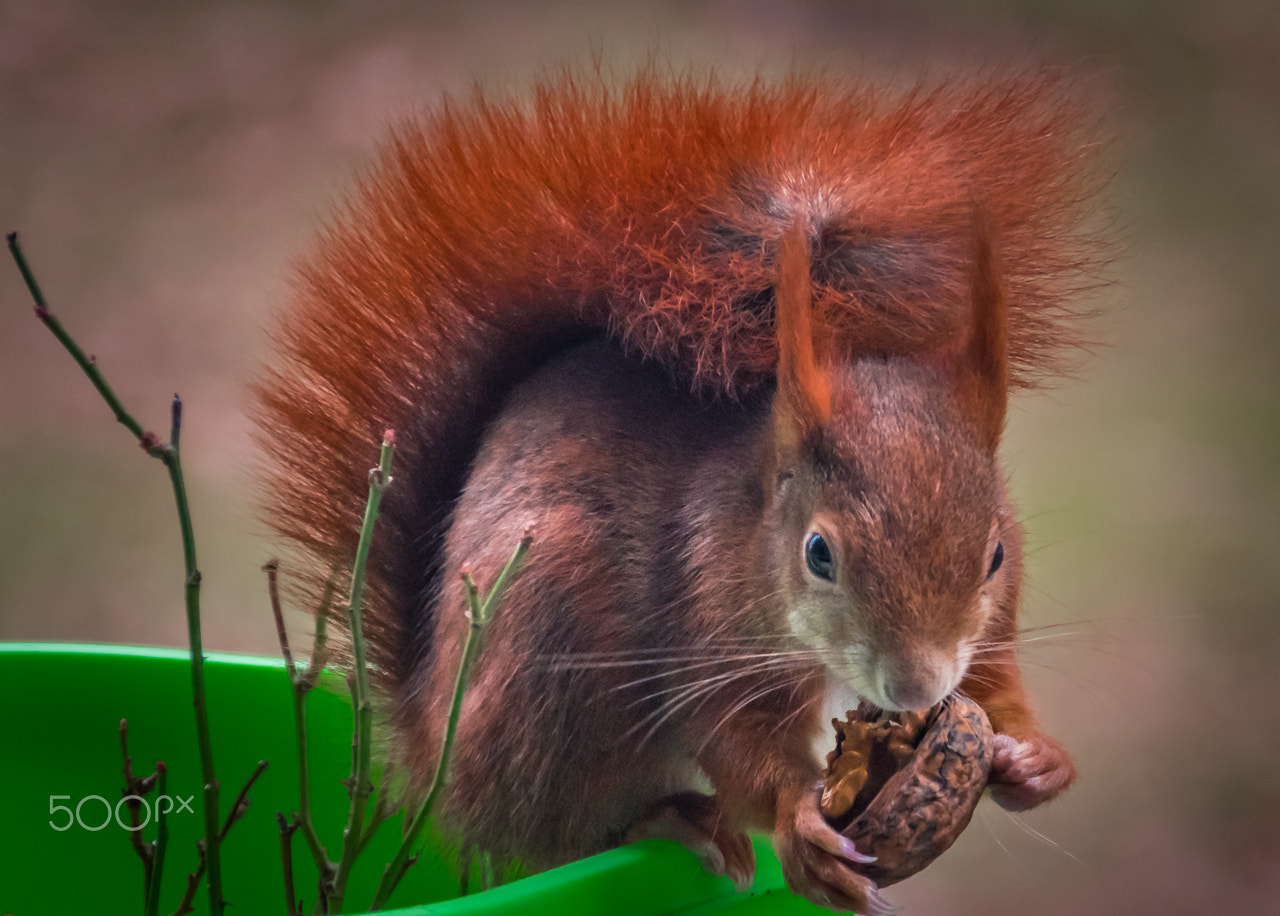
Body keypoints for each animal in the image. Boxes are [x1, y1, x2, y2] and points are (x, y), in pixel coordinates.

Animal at [255, 67, 1107, 913]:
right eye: (819, 553)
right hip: (550, 648)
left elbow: (992, 677)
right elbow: (734, 739)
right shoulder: (704, 624)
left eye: (996, 554)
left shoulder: (985, 629)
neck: (754, 519)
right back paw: (668, 818)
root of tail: (429, 748)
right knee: (553, 831)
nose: (914, 686)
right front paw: (801, 821)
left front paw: (1034, 757)